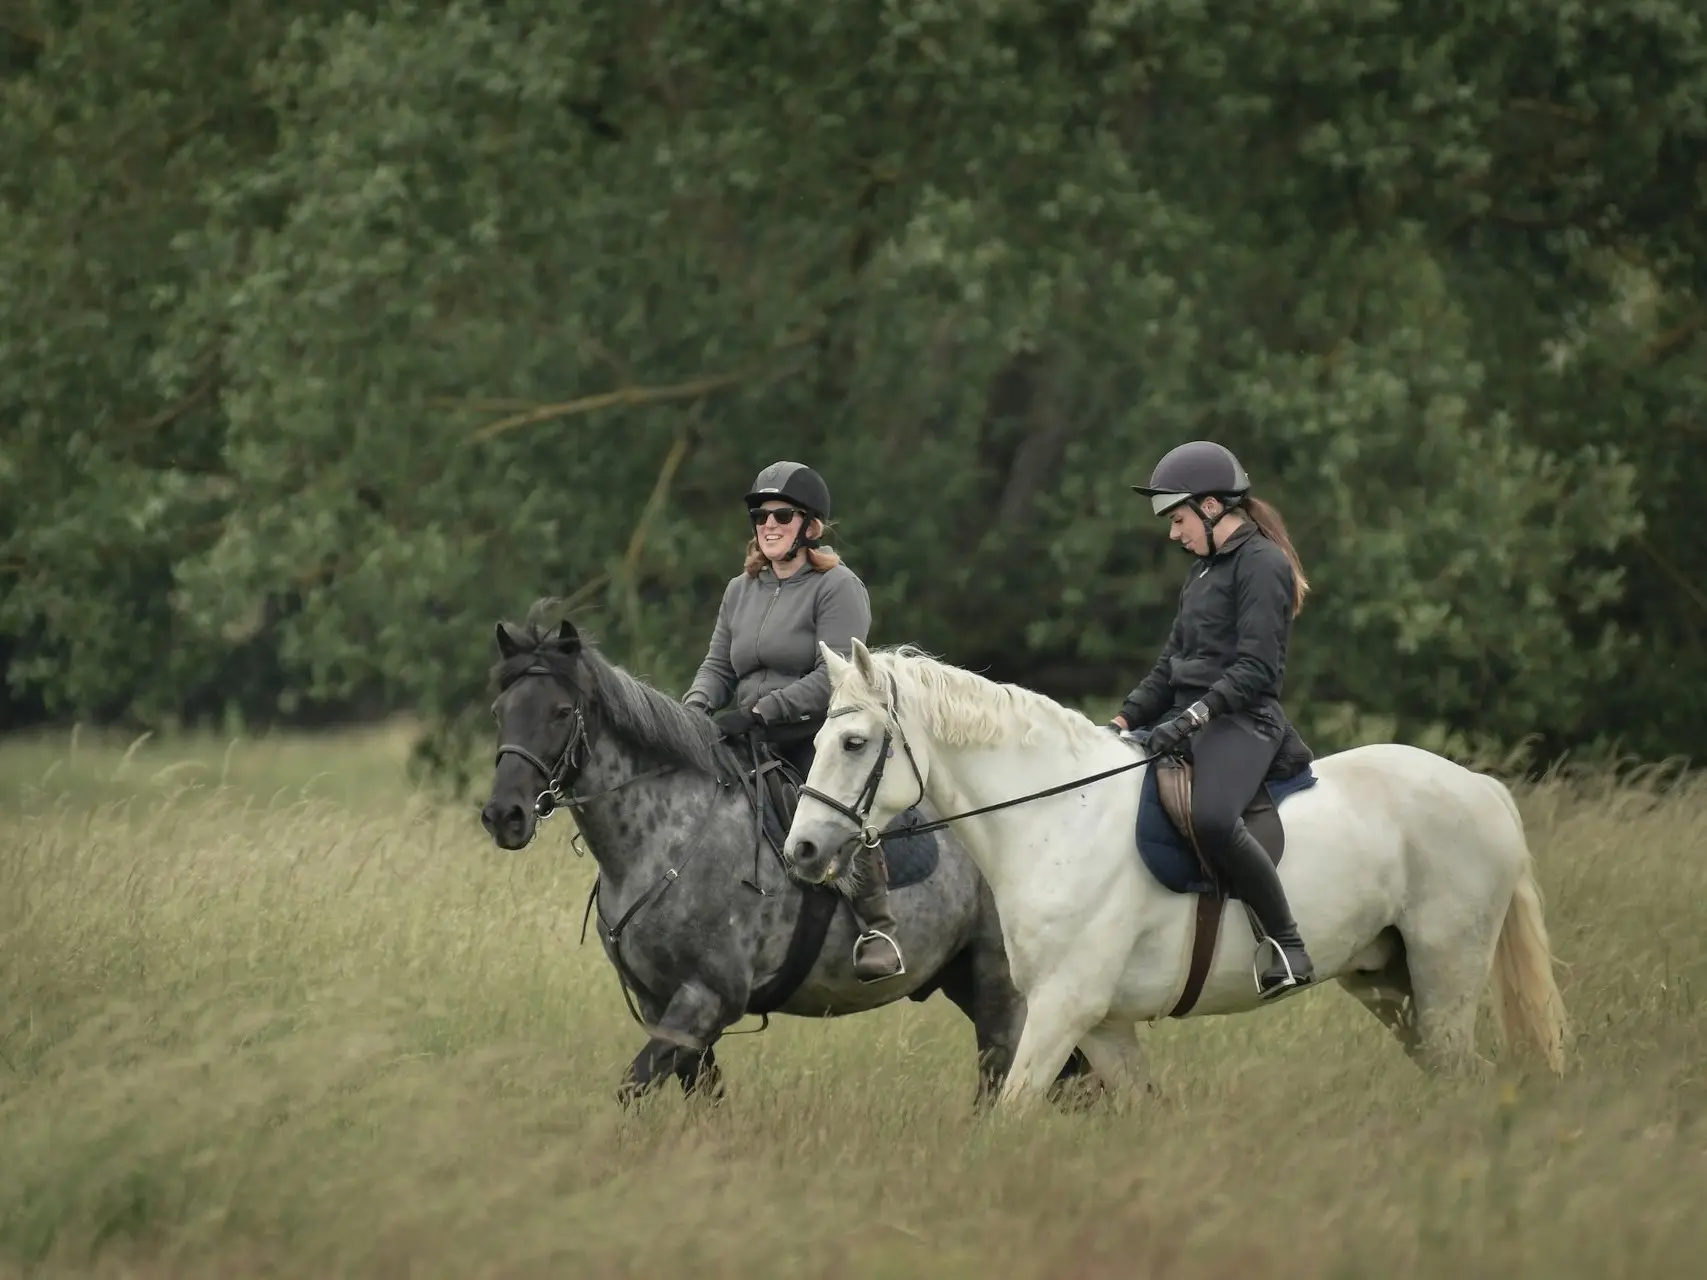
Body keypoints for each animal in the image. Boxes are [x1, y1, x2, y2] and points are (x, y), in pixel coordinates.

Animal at [481, 607, 1092, 1105]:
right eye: (500, 710)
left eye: (562, 711)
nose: (503, 816)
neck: (668, 840)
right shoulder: (664, 1004)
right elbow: (700, 1095)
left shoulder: (706, 998)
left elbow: (634, 1086)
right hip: (964, 979)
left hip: (1000, 987)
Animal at [781, 645, 1563, 1105]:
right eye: (816, 738)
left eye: (854, 742)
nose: (803, 852)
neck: (1056, 818)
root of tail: (1480, 787)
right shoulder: (1101, 1024)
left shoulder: (1061, 1009)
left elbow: (1012, 1111)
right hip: (1388, 982)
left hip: (1444, 973)